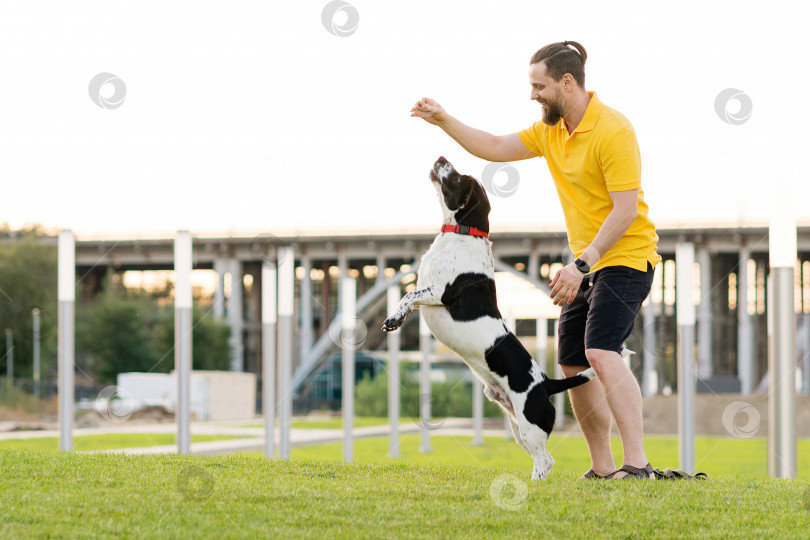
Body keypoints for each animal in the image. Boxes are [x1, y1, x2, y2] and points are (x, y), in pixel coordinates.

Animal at [378, 157, 592, 480]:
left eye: (457, 178)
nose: (441, 158)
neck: (461, 233)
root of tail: (546, 384)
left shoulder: (440, 291)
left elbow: (408, 295)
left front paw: (394, 319)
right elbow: (409, 294)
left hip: (530, 425)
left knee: (544, 461)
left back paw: (534, 484)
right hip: (517, 426)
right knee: (545, 459)